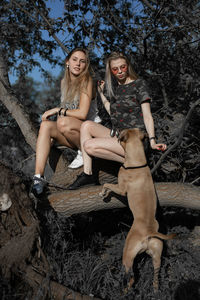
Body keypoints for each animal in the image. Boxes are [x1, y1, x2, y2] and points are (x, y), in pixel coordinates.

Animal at [101, 127, 176, 290]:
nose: (114, 132)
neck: (137, 161)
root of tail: (149, 233)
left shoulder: (121, 189)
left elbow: (107, 185)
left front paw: (103, 193)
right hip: (156, 256)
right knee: (155, 277)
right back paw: (155, 289)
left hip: (128, 255)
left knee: (131, 278)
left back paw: (125, 291)